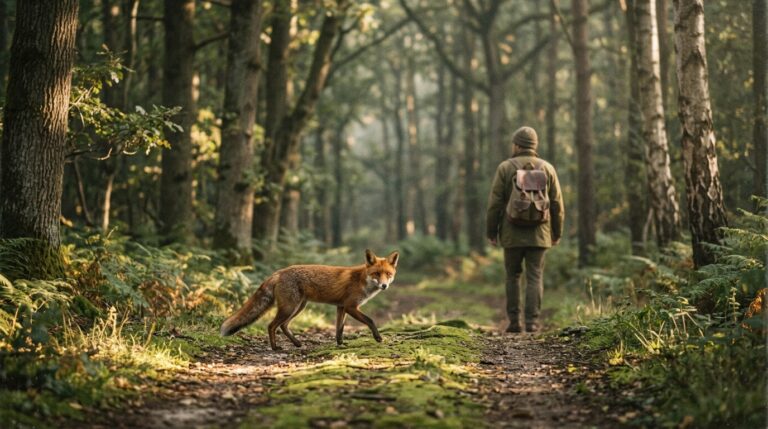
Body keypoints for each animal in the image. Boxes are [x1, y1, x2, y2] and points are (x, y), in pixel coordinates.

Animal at [220, 249, 399, 350]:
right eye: (376, 274)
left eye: (388, 274)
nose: (384, 285)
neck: (362, 280)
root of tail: (279, 272)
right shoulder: (350, 306)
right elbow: (370, 320)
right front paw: (378, 337)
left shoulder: (341, 307)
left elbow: (339, 329)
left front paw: (340, 344)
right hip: (290, 307)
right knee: (271, 325)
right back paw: (275, 347)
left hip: (298, 307)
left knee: (283, 326)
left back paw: (297, 343)